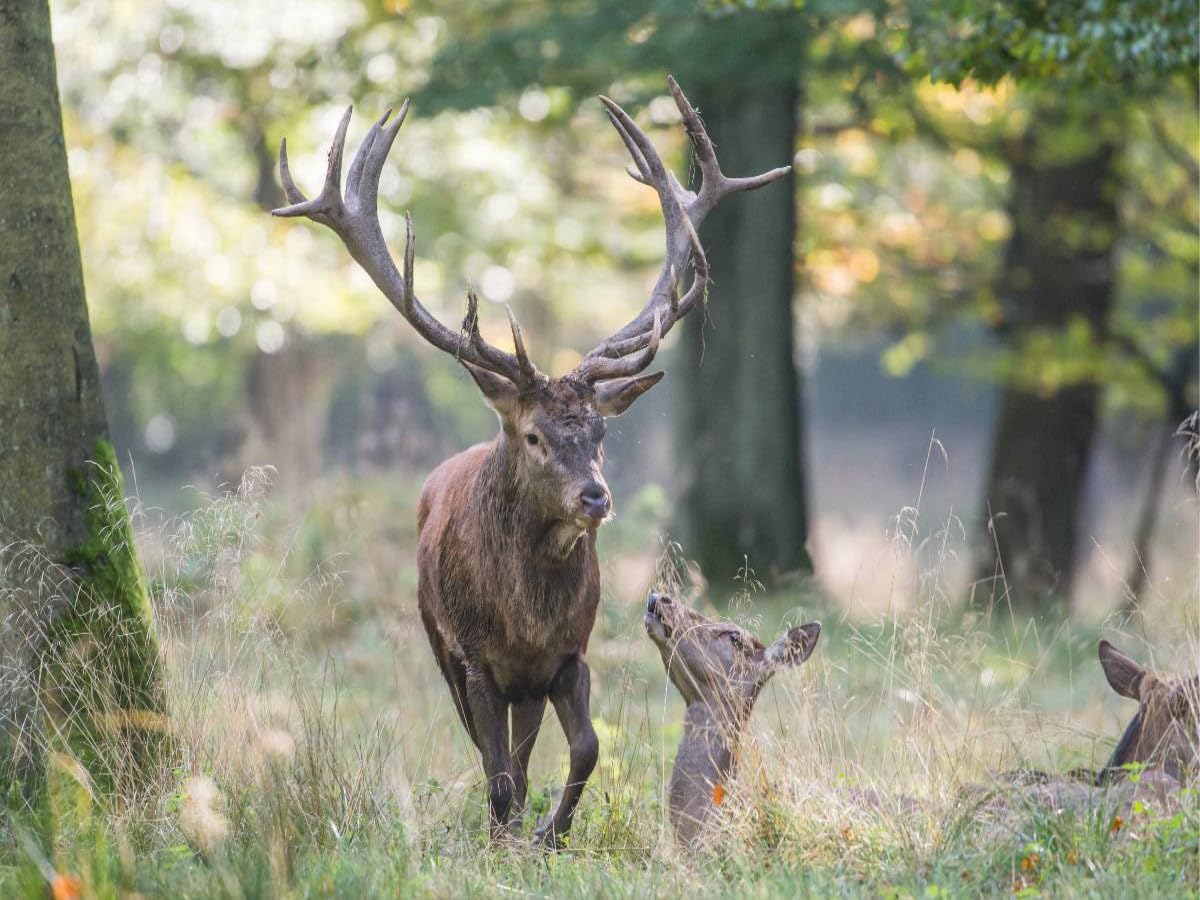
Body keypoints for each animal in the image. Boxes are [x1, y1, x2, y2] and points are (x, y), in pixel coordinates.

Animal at [272, 77, 792, 847]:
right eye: (535, 436)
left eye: (600, 433)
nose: (595, 498)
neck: (525, 618)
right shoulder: (475, 656)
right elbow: (497, 770)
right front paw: (509, 836)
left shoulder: (567, 656)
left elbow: (585, 748)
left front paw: (551, 832)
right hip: (439, 642)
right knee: (490, 751)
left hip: (524, 683)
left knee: (521, 746)